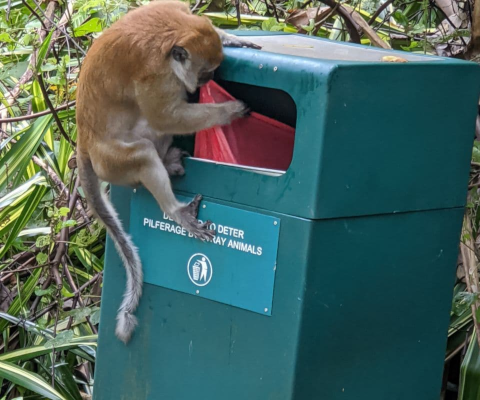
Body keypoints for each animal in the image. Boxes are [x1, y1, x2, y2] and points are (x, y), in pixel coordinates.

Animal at [76, 0, 260, 344]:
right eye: (205, 74)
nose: (201, 87)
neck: (175, 30)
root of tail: (84, 141)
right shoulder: (155, 77)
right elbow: (165, 117)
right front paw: (227, 112)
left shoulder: (177, 10)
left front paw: (233, 38)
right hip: (112, 163)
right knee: (144, 154)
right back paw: (176, 210)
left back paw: (169, 160)